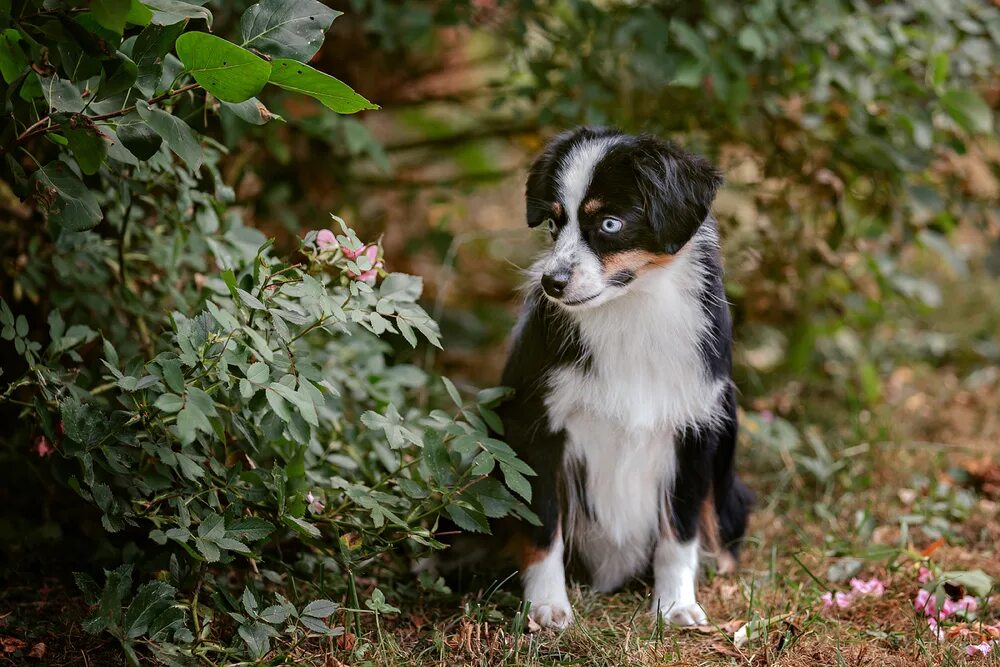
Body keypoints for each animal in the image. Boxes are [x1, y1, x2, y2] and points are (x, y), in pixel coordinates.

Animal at [492, 126, 752, 632]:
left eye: (610, 224)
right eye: (554, 223)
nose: (552, 283)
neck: (631, 308)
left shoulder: (693, 430)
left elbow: (681, 531)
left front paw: (674, 606)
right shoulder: (537, 428)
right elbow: (543, 528)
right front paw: (546, 607)